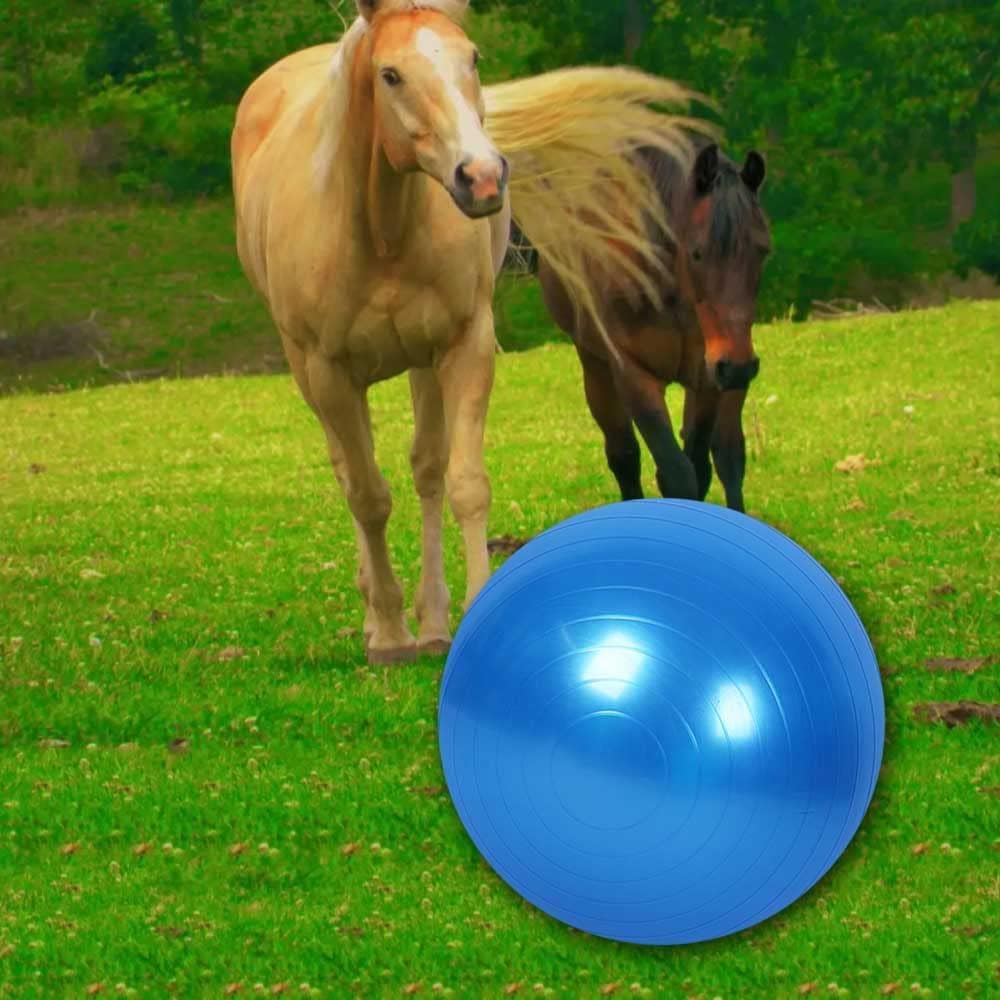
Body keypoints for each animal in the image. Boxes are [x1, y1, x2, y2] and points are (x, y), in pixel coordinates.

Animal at [231, 0, 708, 664]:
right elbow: (369, 496)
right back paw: (380, 618)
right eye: (390, 75)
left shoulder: (464, 345)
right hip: (313, 374)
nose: (480, 177)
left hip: (421, 362)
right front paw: (389, 635)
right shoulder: (329, 371)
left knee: (427, 471)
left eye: (473, 58)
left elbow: (463, 484)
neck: (380, 230)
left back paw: (433, 620)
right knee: (351, 473)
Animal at [535, 139, 771, 513]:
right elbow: (675, 473)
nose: (736, 365)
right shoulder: (634, 374)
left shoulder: (705, 377)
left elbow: (699, 467)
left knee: (728, 454)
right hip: (596, 366)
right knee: (624, 456)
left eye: (763, 251)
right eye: (697, 253)